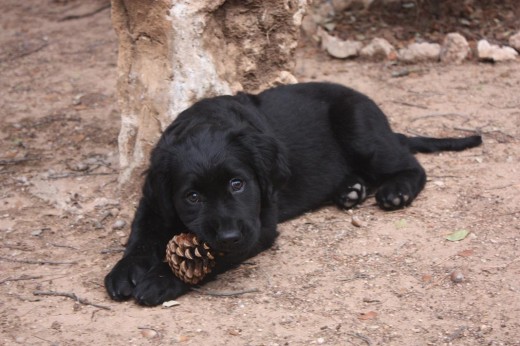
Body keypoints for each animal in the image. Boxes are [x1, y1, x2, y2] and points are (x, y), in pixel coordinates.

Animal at [105, 82, 484, 304]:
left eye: (237, 184)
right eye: (192, 197)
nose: (228, 235)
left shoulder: (258, 226)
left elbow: (213, 258)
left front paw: (160, 281)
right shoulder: (155, 201)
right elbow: (141, 235)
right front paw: (124, 272)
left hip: (359, 128)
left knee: (411, 164)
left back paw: (396, 191)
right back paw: (350, 190)